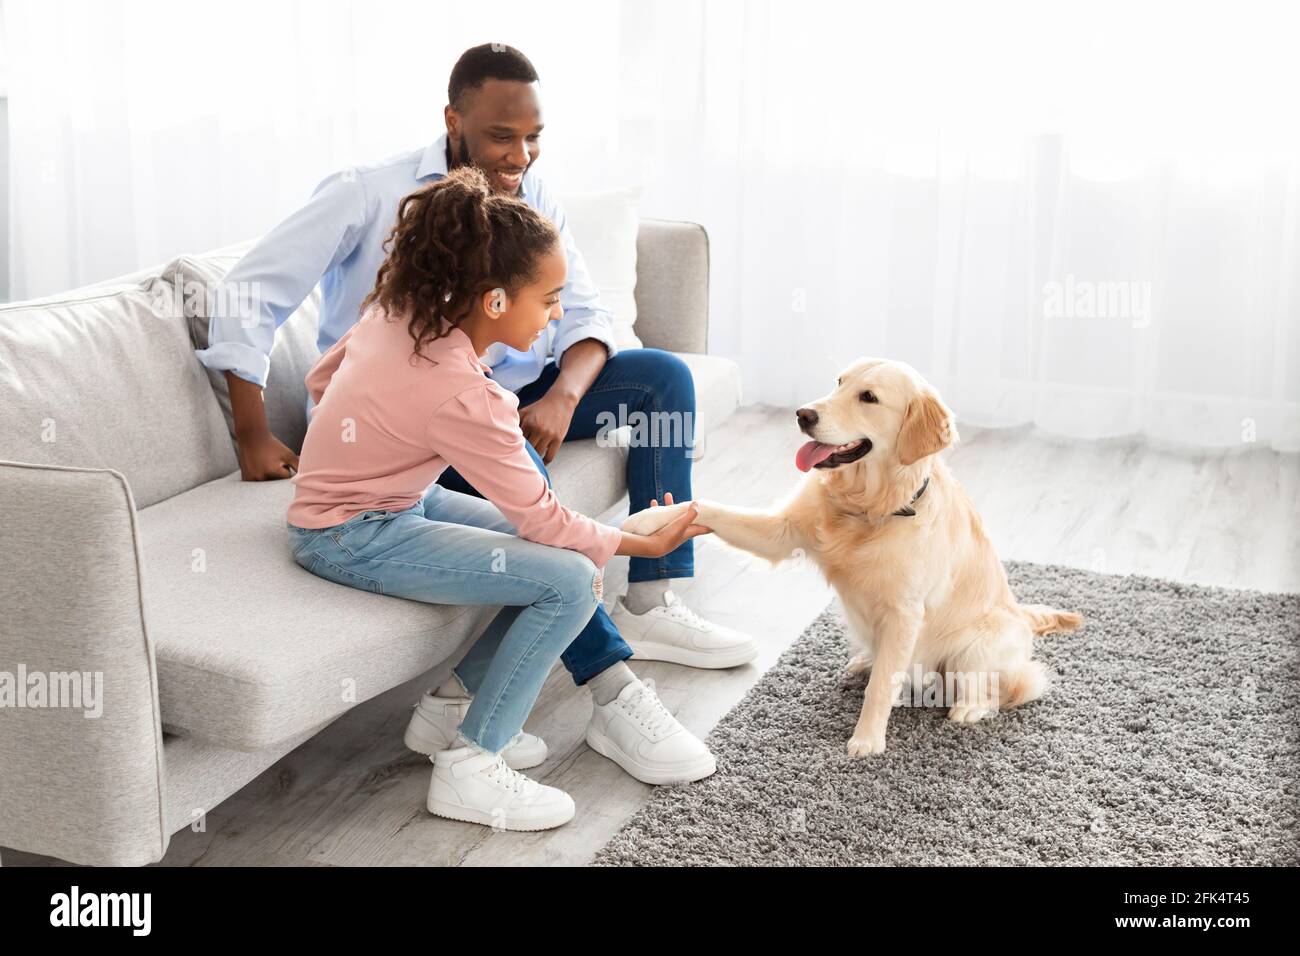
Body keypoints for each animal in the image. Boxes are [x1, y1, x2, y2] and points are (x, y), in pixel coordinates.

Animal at [624, 358, 1081, 754]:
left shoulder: (904, 612)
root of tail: (1022, 615)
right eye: (839, 382)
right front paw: (647, 520)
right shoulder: (780, 531)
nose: (803, 414)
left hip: (980, 644)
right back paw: (865, 661)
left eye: (869, 397)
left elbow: (882, 686)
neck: (868, 507)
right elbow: (705, 507)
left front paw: (867, 740)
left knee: (1001, 687)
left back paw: (968, 707)